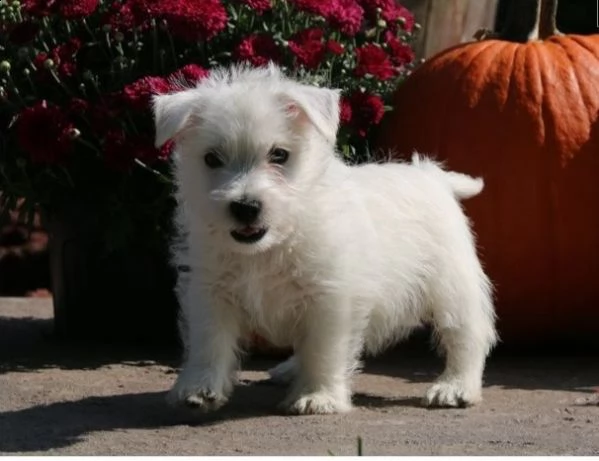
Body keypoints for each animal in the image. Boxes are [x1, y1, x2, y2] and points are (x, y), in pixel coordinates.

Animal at [154, 63, 496, 414]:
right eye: (211, 159)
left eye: (279, 155)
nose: (245, 207)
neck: (272, 245)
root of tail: (434, 176)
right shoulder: (211, 292)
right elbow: (209, 341)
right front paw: (198, 388)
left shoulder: (329, 298)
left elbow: (323, 350)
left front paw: (319, 396)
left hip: (451, 286)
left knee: (468, 334)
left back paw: (455, 387)